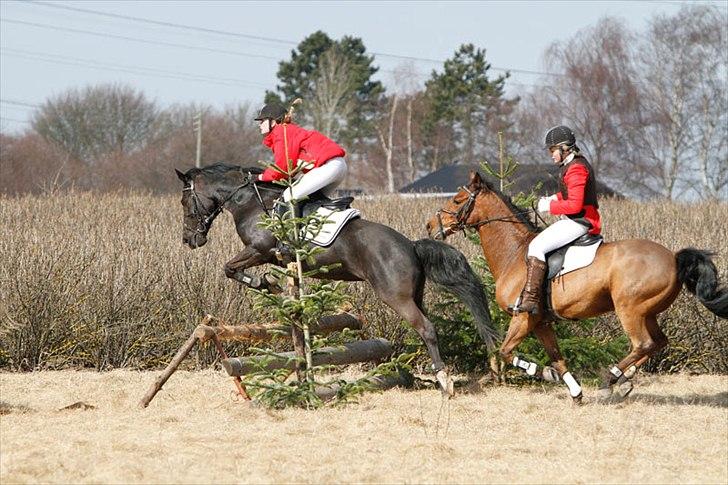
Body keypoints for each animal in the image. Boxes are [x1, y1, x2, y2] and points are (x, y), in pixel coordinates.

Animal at [175, 163, 500, 394]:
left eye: (184, 201)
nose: (189, 240)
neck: (248, 201)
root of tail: (410, 245)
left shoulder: (259, 249)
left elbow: (230, 268)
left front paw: (266, 283)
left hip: (396, 297)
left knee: (427, 329)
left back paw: (444, 382)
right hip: (415, 294)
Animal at [426, 170, 728, 400]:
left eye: (457, 200)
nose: (429, 225)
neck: (515, 252)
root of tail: (674, 258)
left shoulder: (522, 317)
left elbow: (506, 351)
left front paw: (542, 373)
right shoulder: (541, 322)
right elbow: (557, 357)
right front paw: (574, 391)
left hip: (629, 310)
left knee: (642, 344)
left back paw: (611, 380)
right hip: (648, 312)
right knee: (658, 342)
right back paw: (625, 379)